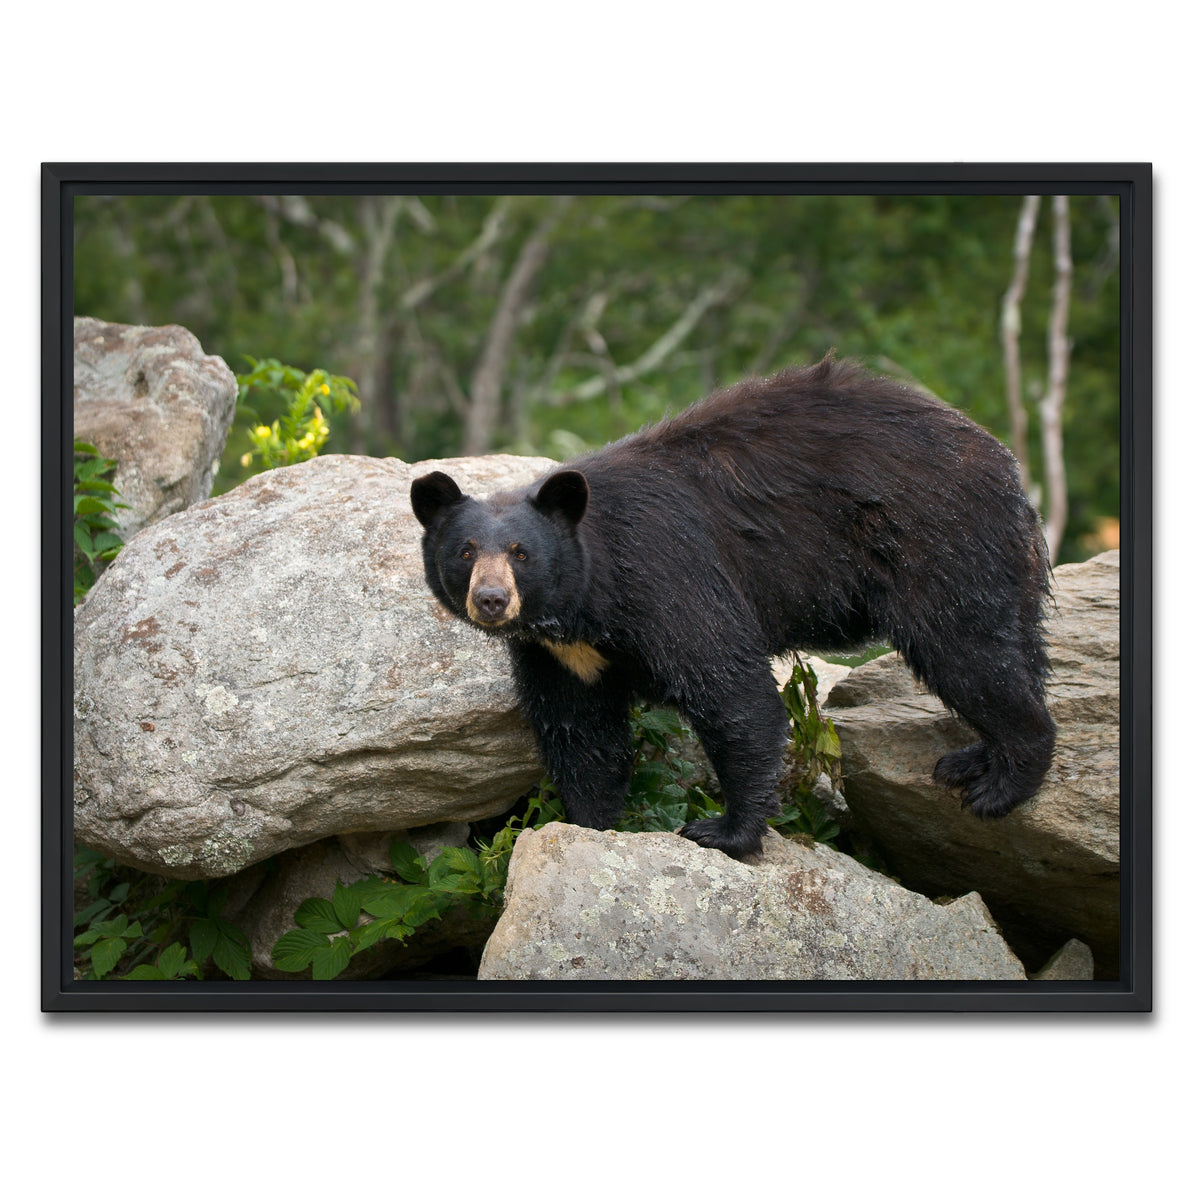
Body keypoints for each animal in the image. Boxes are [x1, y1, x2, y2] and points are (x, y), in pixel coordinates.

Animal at [411, 355, 1056, 859]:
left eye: (521, 553)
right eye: (466, 551)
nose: (491, 600)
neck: (586, 603)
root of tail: (1006, 466)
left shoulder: (666, 575)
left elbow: (730, 691)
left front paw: (724, 830)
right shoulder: (559, 654)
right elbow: (580, 732)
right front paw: (589, 824)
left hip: (938, 543)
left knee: (967, 652)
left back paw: (1001, 783)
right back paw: (973, 759)